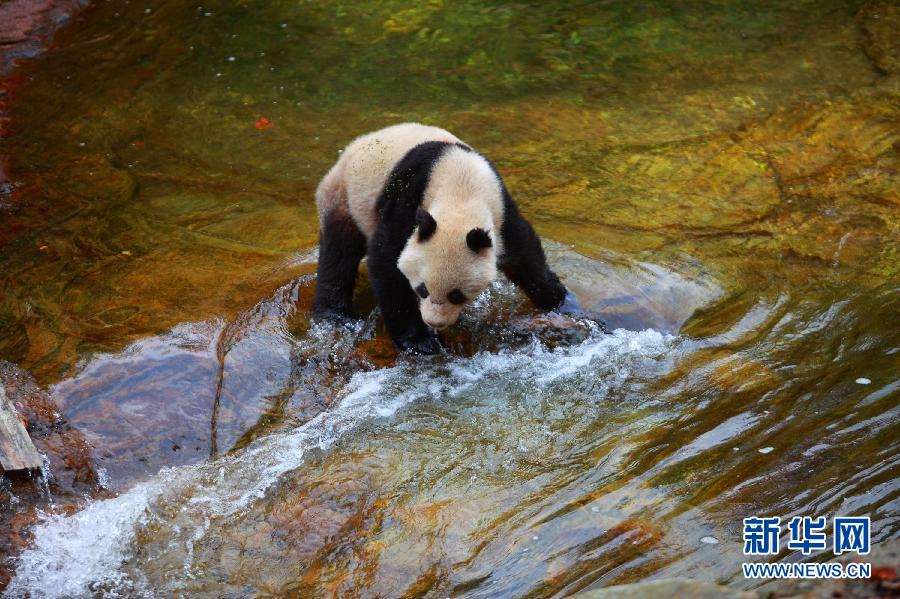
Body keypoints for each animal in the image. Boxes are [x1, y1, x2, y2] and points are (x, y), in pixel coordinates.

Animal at [312, 122, 580, 354]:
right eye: (421, 289)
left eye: (456, 295)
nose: (435, 323)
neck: (460, 188)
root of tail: (353, 147)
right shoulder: (408, 198)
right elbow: (387, 259)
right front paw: (419, 341)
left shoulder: (501, 213)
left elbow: (524, 256)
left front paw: (560, 301)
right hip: (344, 195)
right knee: (338, 253)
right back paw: (334, 315)